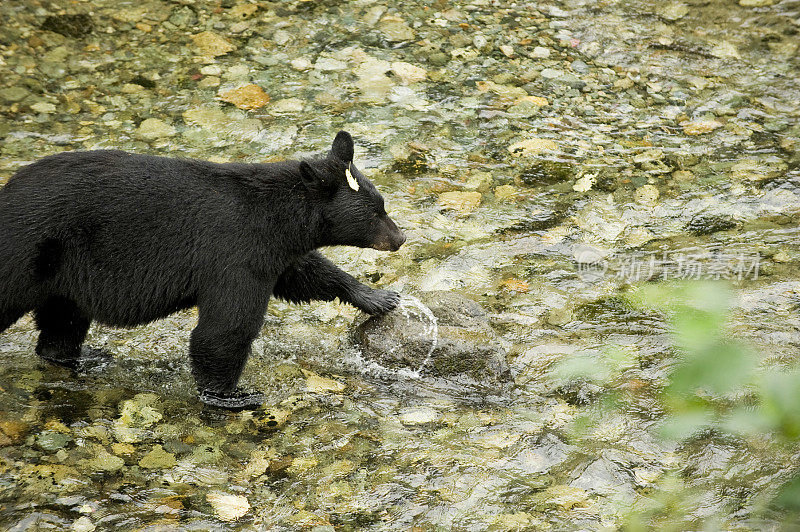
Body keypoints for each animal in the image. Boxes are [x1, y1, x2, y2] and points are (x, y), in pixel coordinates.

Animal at [0, 131, 406, 410]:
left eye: (381, 203)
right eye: (373, 213)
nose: (400, 238)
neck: (278, 220)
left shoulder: (274, 253)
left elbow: (306, 274)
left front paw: (379, 297)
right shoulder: (234, 252)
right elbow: (225, 328)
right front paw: (231, 395)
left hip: (62, 278)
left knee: (62, 325)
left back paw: (84, 359)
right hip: (25, 252)